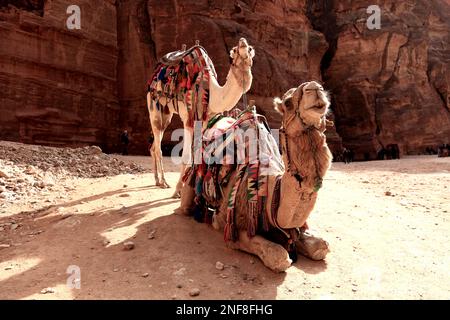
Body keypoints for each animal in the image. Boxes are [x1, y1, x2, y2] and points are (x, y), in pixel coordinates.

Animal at [147, 38, 255, 198]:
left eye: (250, 49)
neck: (212, 93)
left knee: (154, 144)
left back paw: (157, 180)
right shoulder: (189, 119)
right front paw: (178, 190)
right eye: (235, 50)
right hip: (154, 106)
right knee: (158, 145)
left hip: (166, 113)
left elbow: (198, 153)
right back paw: (164, 181)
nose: (242, 41)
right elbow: (186, 155)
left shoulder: (204, 120)